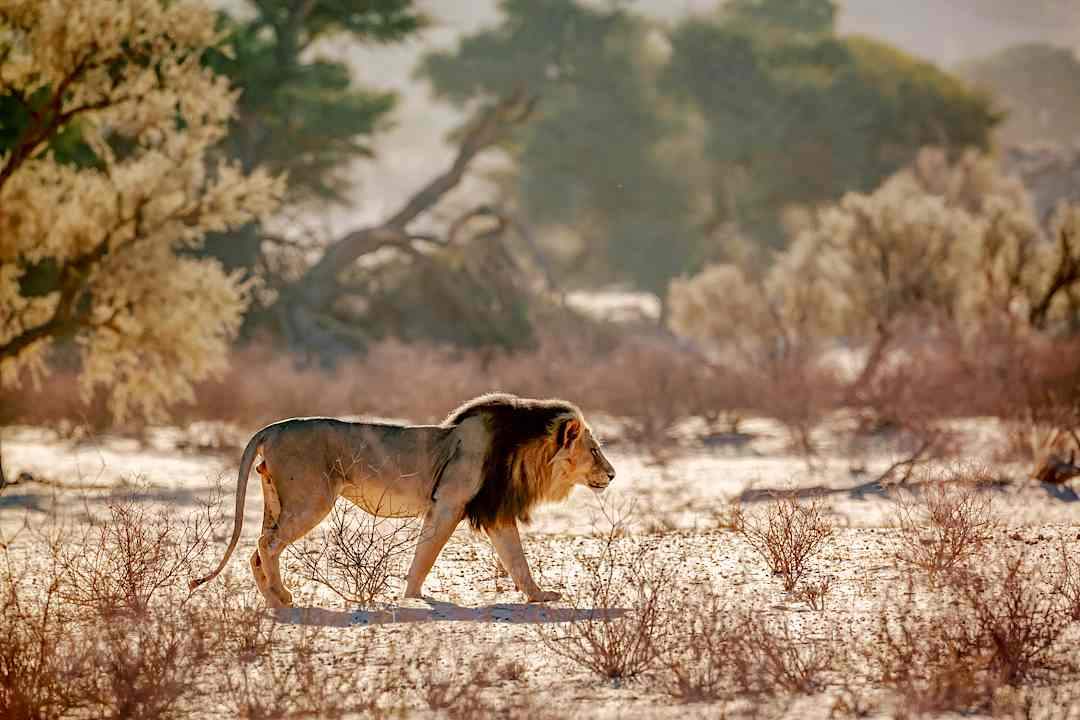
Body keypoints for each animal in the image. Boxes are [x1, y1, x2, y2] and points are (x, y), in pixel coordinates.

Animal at [189, 393, 616, 608]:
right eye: (595, 450)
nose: (612, 474)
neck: (527, 451)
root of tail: (272, 428)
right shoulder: (448, 502)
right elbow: (426, 554)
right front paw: (413, 597)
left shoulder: (494, 511)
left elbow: (517, 561)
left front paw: (540, 596)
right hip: (312, 499)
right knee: (267, 543)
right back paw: (280, 596)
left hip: (278, 499)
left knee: (256, 550)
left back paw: (274, 600)